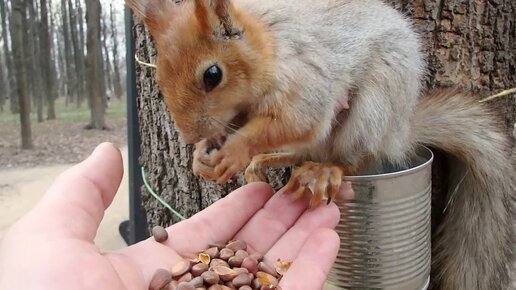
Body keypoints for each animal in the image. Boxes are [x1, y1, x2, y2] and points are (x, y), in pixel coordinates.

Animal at [126, 1, 516, 288]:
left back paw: (323, 170)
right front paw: (202, 156)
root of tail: (398, 132)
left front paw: (234, 152)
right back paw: (265, 162)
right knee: (302, 151)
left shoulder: (305, 81)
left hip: (371, 111)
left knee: (353, 159)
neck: (268, 44)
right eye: (160, 76)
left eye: (212, 75)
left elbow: (293, 120)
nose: (190, 136)